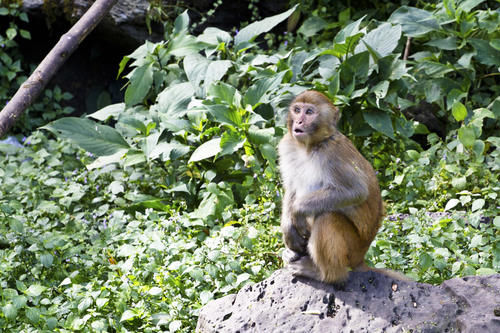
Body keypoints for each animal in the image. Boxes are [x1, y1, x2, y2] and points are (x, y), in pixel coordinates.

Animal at [278, 89, 406, 282]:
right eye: (297, 110)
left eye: (309, 112)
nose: (299, 121)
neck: (310, 147)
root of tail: (361, 258)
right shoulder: (288, 145)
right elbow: (291, 187)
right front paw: (288, 228)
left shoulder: (333, 154)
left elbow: (356, 191)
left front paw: (297, 210)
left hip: (352, 249)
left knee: (327, 217)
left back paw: (326, 274)